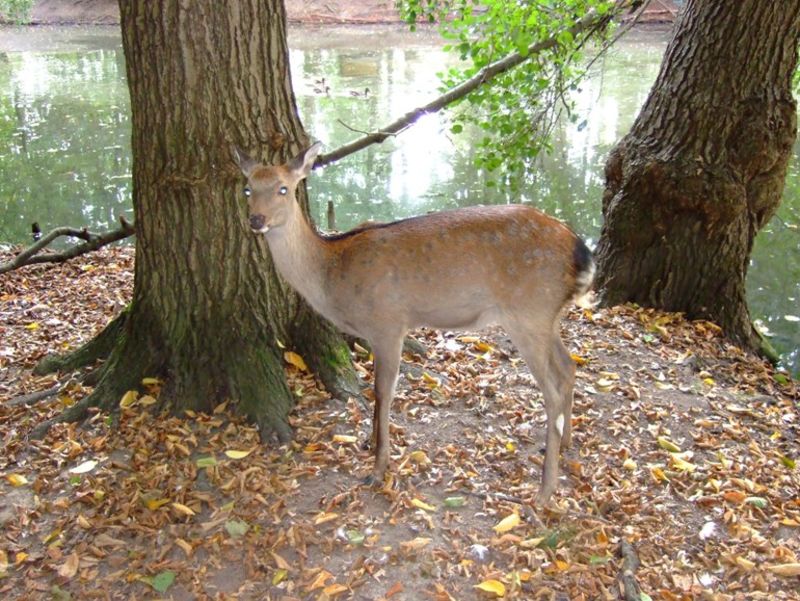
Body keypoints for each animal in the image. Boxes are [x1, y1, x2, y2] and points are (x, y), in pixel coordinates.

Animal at [233, 142, 594, 504]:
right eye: (248, 188)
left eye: (283, 188)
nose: (256, 219)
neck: (332, 275)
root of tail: (580, 250)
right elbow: (376, 390)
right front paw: (368, 444)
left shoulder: (388, 322)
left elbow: (384, 391)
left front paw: (378, 469)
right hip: (546, 316)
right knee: (569, 366)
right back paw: (565, 444)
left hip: (528, 312)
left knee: (552, 389)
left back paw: (545, 490)